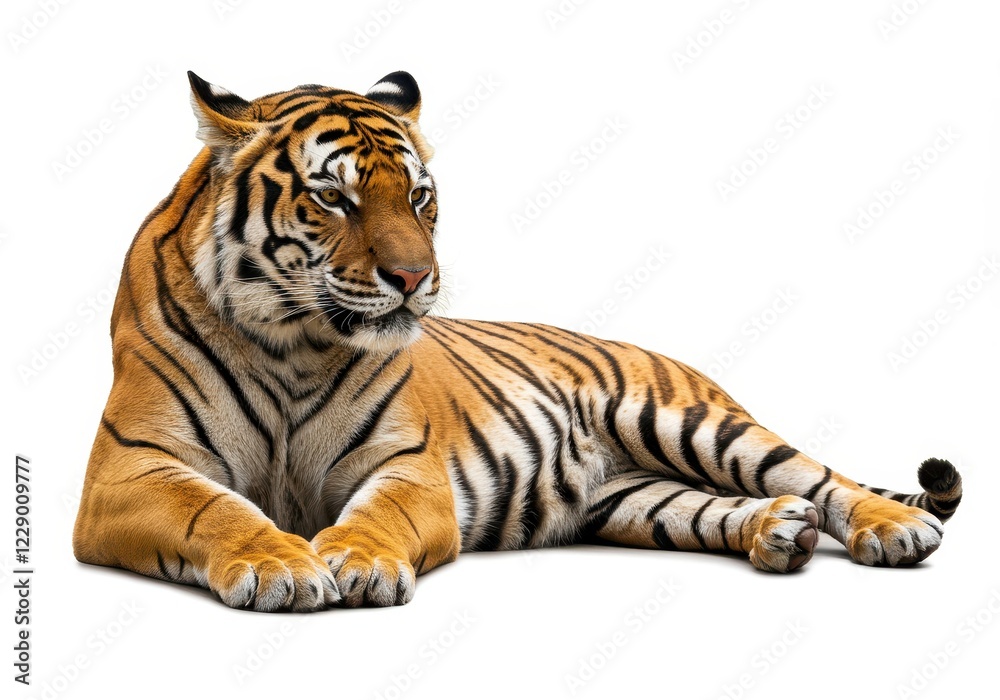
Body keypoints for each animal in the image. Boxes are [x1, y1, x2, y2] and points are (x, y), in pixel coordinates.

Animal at [73, 71, 964, 611]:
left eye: (420, 197)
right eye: (334, 198)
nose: (413, 277)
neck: (293, 341)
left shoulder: (408, 468)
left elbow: (375, 515)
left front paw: (354, 561)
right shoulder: (132, 468)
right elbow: (214, 508)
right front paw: (280, 563)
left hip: (689, 421)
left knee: (820, 476)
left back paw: (891, 528)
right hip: (626, 497)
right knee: (712, 507)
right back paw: (779, 533)